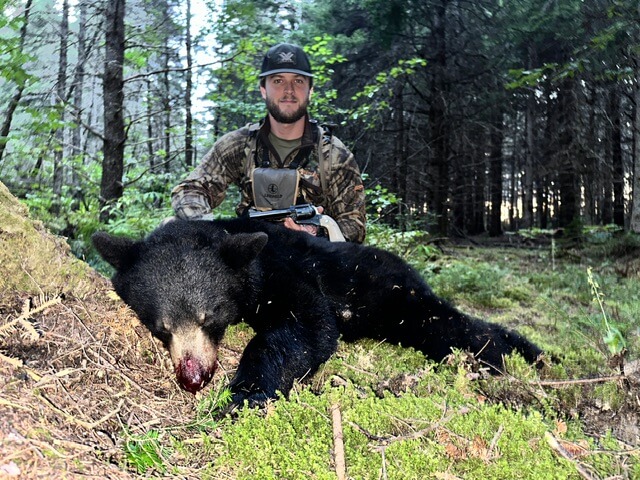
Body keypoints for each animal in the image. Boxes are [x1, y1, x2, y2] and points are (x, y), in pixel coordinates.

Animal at [92, 217, 543, 408]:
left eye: (210, 316)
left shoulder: (281, 271)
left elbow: (308, 325)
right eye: (161, 327)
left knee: (447, 324)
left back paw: (510, 357)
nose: (193, 377)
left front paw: (245, 394)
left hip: (392, 295)